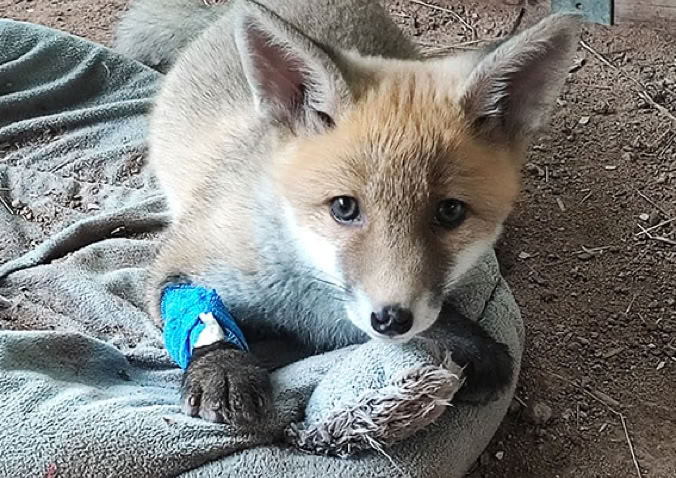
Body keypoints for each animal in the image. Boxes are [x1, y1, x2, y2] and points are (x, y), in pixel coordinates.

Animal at [114, 0, 581, 424]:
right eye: (344, 207)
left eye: (450, 212)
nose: (391, 320)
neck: (302, 298)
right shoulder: (183, 258)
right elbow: (203, 317)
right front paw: (223, 368)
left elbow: (431, 320)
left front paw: (465, 340)